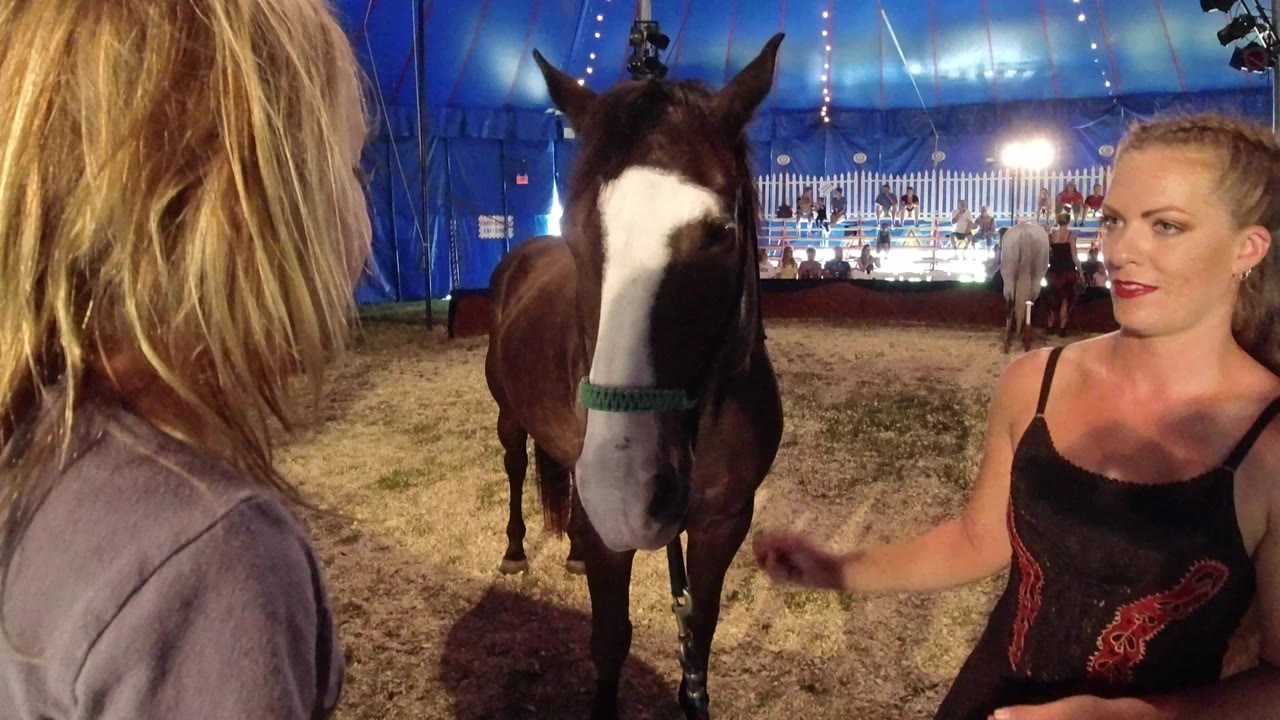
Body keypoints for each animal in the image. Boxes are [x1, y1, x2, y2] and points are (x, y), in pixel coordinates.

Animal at [483, 34, 786, 720]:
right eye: (574, 230)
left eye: (719, 235)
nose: (626, 489)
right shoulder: (610, 534)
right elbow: (610, 638)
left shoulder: (724, 521)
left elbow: (698, 634)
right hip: (510, 417)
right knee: (516, 467)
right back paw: (517, 550)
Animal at [999, 219, 1051, 353]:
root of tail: (1025, 234)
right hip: (1035, 280)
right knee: (1026, 303)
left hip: (1009, 277)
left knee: (1012, 303)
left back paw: (1008, 341)